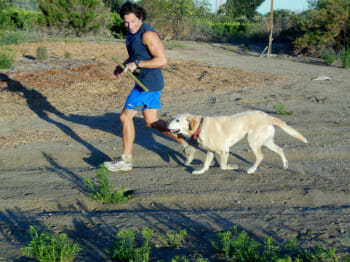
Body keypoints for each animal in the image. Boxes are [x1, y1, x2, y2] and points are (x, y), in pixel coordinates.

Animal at [168, 110, 308, 174]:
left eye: (178, 120)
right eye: (174, 118)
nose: (167, 125)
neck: (200, 126)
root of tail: (267, 116)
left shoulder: (224, 150)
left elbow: (223, 166)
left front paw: (232, 167)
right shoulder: (210, 151)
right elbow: (206, 164)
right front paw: (201, 171)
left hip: (253, 141)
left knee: (260, 156)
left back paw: (251, 170)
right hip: (266, 141)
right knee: (280, 149)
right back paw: (285, 165)